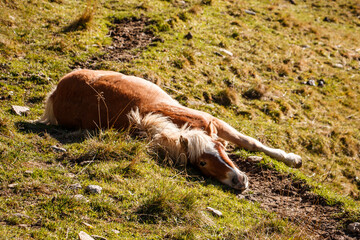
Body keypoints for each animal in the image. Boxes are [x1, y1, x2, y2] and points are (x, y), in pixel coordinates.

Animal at [38, 69, 302, 191]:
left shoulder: (215, 122)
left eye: (220, 148)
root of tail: (56, 92)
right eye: (202, 163)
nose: (239, 180)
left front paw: (292, 159)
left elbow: (250, 142)